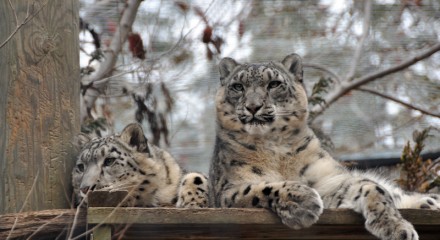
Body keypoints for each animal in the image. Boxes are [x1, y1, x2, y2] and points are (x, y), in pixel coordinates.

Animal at [210, 54, 440, 240]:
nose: (253, 106)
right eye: (238, 86)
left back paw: (428, 202)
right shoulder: (229, 190)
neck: (275, 148)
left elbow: (372, 187)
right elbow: (261, 188)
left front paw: (397, 227)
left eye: (274, 84)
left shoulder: (330, 180)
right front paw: (301, 201)